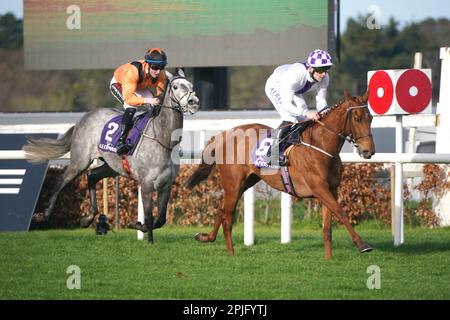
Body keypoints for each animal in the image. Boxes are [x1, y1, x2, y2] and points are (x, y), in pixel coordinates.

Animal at [22, 68, 199, 242]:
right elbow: (149, 217)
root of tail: (83, 119)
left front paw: (136, 224)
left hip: (112, 167)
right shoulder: (146, 184)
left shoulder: (166, 185)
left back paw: (87, 219)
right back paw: (42, 216)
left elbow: (160, 219)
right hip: (80, 161)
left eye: (191, 85)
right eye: (175, 87)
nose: (193, 101)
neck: (164, 141)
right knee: (61, 181)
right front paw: (149, 240)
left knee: (92, 176)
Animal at [186, 89, 376, 258]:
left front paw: (328, 258)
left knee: (221, 208)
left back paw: (205, 237)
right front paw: (362, 245)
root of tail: (222, 136)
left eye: (371, 118)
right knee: (227, 216)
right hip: (233, 183)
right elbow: (341, 212)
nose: (368, 151)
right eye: (357, 118)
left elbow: (327, 226)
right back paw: (231, 254)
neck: (321, 146)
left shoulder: (331, 189)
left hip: (246, 182)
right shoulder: (319, 188)